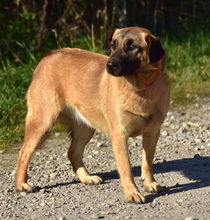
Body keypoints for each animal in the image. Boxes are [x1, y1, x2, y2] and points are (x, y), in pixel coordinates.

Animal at [16, 26, 171, 204]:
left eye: (132, 46)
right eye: (113, 45)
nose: (110, 65)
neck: (139, 89)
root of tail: (49, 54)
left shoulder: (152, 132)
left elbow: (147, 162)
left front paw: (149, 183)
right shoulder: (119, 135)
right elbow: (126, 169)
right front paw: (132, 193)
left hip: (85, 129)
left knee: (73, 153)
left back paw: (86, 177)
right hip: (42, 122)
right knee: (24, 152)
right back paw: (21, 184)